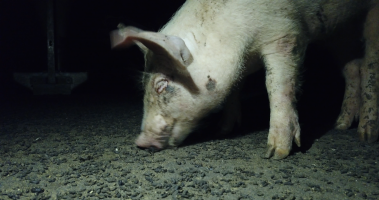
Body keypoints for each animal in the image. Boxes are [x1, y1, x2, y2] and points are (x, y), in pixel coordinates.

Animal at [111, 0, 378, 159]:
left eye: (161, 85)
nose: (139, 142)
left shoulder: (285, 35)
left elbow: (277, 86)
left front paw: (275, 153)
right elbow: (234, 89)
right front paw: (223, 131)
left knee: (370, 66)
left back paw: (366, 136)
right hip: (340, 33)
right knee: (352, 68)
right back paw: (340, 125)